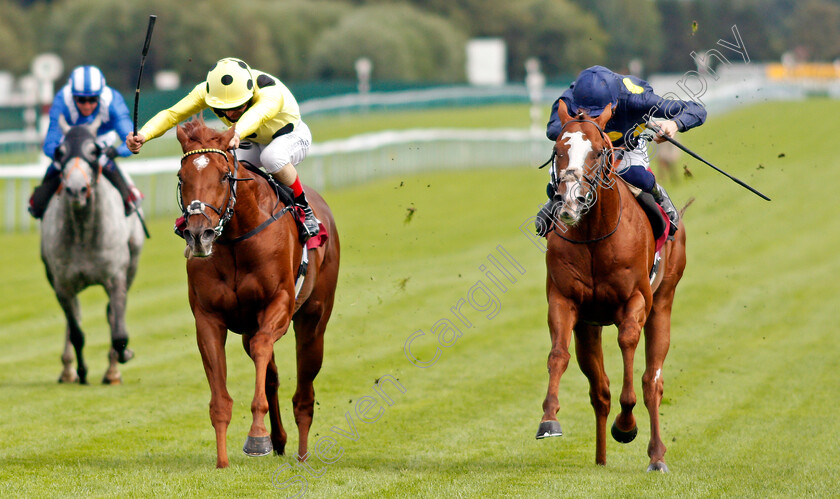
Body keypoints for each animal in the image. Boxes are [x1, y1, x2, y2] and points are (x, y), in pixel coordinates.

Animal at [40, 118, 144, 386]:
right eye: (60, 152)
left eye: (94, 151)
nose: (76, 189)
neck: (84, 233)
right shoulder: (62, 284)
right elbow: (76, 331)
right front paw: (81, 371)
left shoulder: (116, 277)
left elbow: (118, 331)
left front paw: (121, 358)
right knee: (73, 319)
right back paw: (68, 371)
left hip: (132, 263)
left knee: (110, 315)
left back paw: (112, 369)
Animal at [176, 120, 340, 468]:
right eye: (183, 177)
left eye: (224, 176)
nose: (198, 235)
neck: (236, 239)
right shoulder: (208, 318)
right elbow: (220, 399)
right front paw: (223, 461)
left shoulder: (279, 303)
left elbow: (264, 347)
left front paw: (257, 436)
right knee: (272, 376)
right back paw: (280, 440)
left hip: (313, 321)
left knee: (304, 393)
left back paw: (302, 454)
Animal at [540, 101, 688, 472]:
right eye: (559, 150)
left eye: (597, 151)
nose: (571, 200)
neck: (594, 236)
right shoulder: (564, 300)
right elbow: (558, 354)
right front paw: (549, 419)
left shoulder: (635, 300)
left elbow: (628, 344)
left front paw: (626, 424)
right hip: (588, 328)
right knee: (600, 391)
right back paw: (601, 458)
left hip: (663, 302)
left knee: (652, 381)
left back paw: (656, 456)